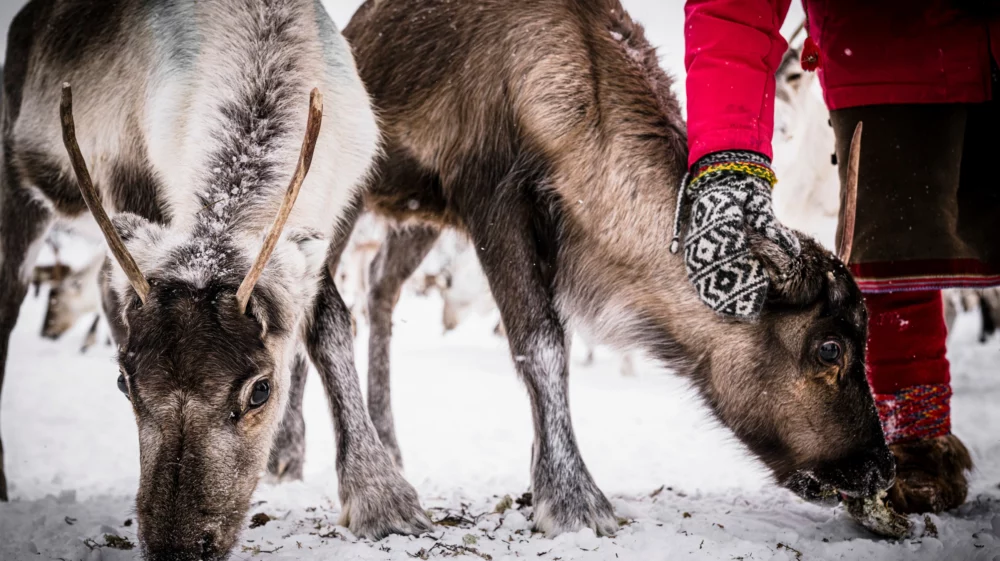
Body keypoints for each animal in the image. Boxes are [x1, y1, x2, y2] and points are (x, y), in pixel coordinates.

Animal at [0, 1, 431, 559]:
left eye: (261, 391)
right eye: (123, 383)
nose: (177, 550)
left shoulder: (328, 215)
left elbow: (330, 324)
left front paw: (382, 500)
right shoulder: (128, 181)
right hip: (19, 183)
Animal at [342, 0, 895, 536]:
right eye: (829, 348)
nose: (881, 468)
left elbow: (557, 345)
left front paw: (541, 479)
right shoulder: (491, 197)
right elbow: (541, 343)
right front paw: (571, 501)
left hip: (418, 213)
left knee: (380, 285)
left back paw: (385, 443)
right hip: (361, 183)